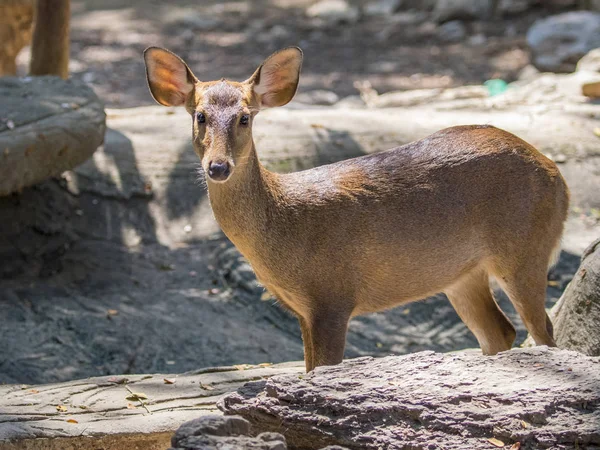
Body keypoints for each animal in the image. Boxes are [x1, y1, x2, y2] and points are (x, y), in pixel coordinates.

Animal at [143, 45, 568, 370]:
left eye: (245, 117)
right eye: (200, 116)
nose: (218, 167)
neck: (285, 228)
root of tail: (556, 175)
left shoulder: (334, 296)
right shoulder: (304, 310)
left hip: (526, 246)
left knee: (545, 332)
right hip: (462, 274)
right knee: (500, 331)